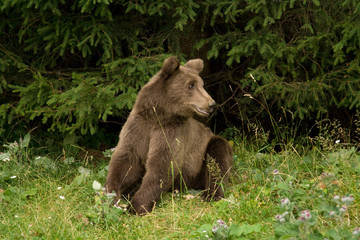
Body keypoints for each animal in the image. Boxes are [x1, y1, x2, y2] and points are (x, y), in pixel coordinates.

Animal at [104, 56, 233, 216]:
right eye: (191, 85)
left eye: (201, 84)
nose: (211, 104)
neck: (158, 115)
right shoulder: (138, 127)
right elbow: (125, 160)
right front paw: (111, 196)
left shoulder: (170, 131)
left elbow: (162, 165)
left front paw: (136, 206)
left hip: (204, 153)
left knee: (218, 157)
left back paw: (211, 194)